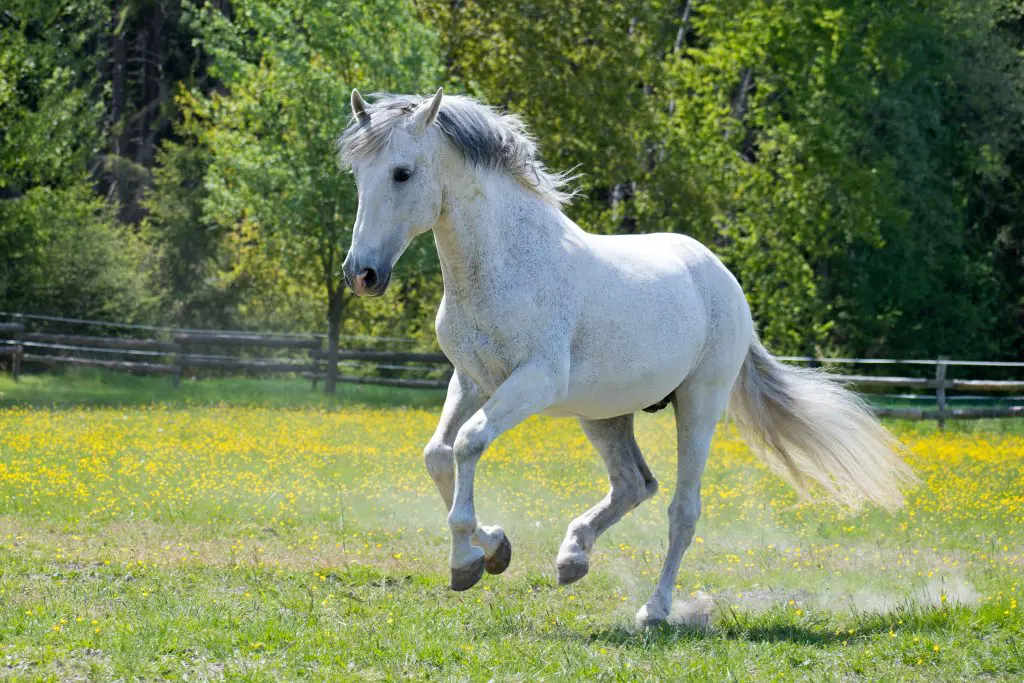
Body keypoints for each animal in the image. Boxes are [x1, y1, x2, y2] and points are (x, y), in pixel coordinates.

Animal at [339, 88, 917, 626]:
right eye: (357, 175)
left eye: (402, 173)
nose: (361, 274)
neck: (505, 265)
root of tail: (723, 279)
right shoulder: (471, 379)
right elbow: (438, 454)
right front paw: (494, 550)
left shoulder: (535, 382)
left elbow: (468, 442)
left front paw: (466, 562)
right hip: (604, 414)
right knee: (634, 484)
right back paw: (572, 558)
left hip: (699, 404)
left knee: (682, 509)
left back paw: (654, 610)